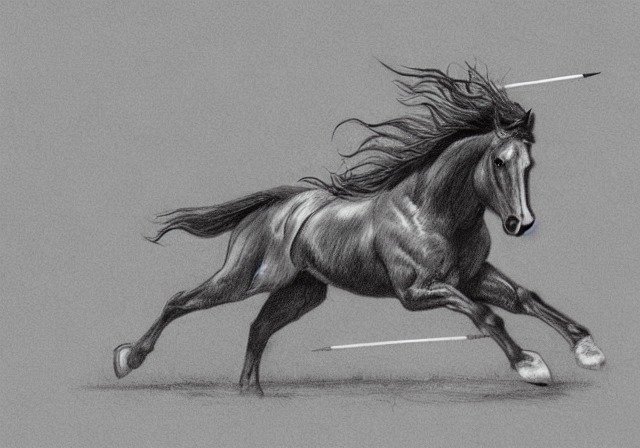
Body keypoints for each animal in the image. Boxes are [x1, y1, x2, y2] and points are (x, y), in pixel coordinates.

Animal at [113, 64, 605, 394]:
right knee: (181, 301)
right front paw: (530, 366)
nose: (520, 223)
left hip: (302, 292)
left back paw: (251, 392)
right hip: (244, 279)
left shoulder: (471, 276)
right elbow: (487, 315)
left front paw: (588, 350)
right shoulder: (417, 292)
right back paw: (127, 359)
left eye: (529, 163)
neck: (431, 212)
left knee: (258, 328)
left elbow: (525, 298)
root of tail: (273, 207)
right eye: (500, 161)